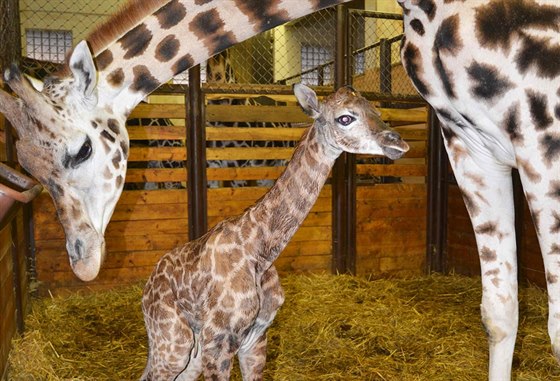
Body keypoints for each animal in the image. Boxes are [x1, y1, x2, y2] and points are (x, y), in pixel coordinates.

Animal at [142, 84, 410, 380]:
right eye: (345, 118)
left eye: (378, 112)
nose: (398, 143)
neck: (261, 250)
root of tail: (147, 288)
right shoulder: (219, 340)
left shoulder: (256, 338)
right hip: (173, 341)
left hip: (189, 348)